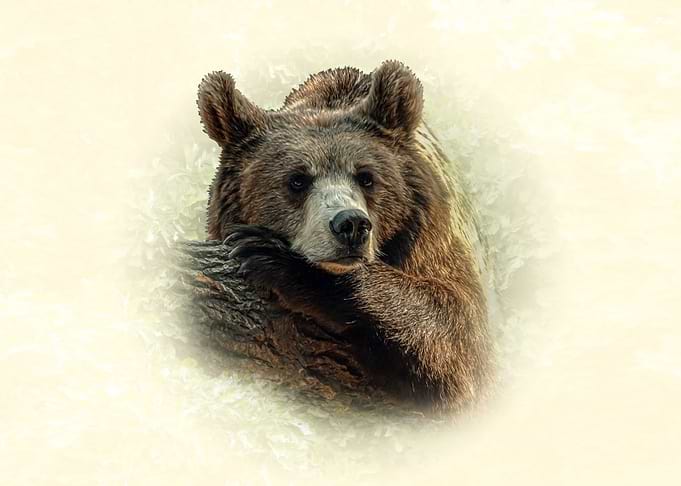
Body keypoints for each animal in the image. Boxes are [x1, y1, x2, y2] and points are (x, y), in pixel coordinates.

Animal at [196, 60, 493, 411]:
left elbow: (456, 329)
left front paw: (275, 259)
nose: (350, 225)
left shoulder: (435, 239)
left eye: (366, 177)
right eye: (297, 180)